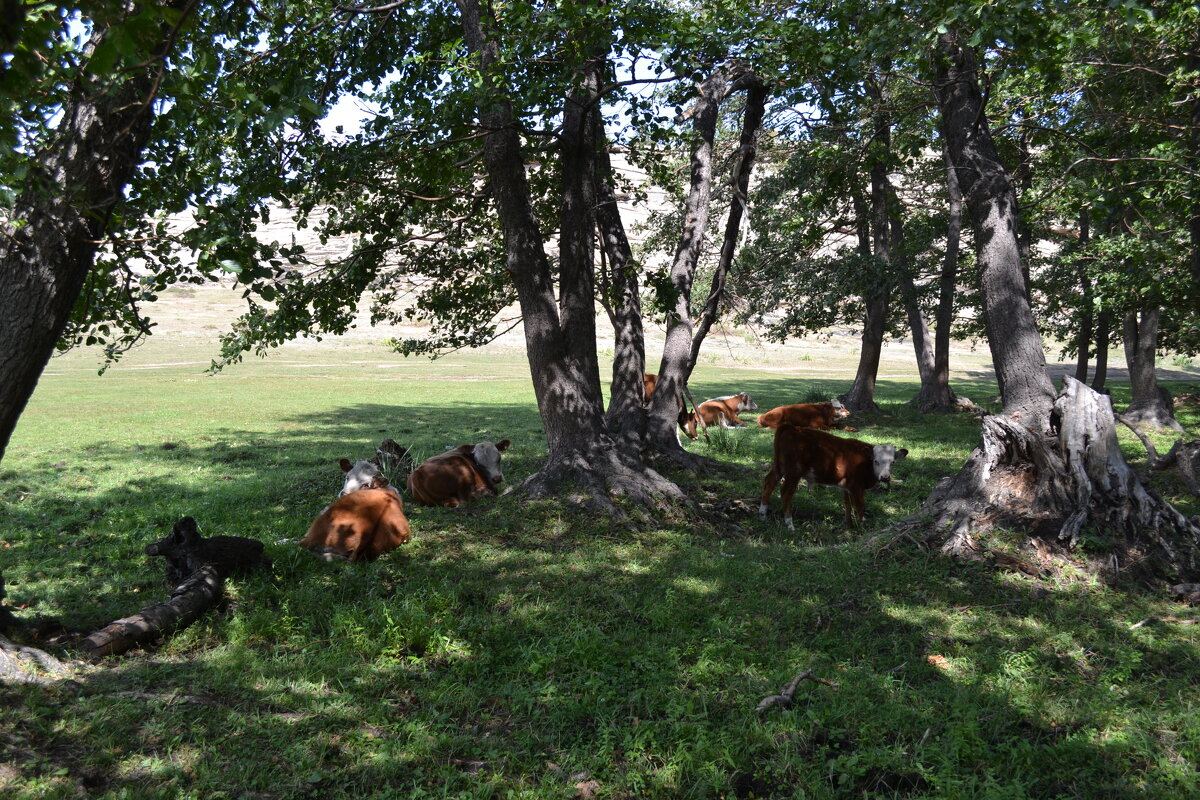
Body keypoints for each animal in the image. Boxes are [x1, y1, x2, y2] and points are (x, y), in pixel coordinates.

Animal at [758, 424, 907, 532]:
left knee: (769, 483)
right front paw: (862, 527)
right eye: (876, 461)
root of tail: (792, 427)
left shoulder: (847, 486)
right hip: (794, 472)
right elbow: (860, 506)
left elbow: (847, 504)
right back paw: (789, 524)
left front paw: (848, 524)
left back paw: (763, 515)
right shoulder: (857, 487)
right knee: (785, 493)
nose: (885, 477)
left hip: (779, 467)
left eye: (893, 462)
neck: (865, 462)